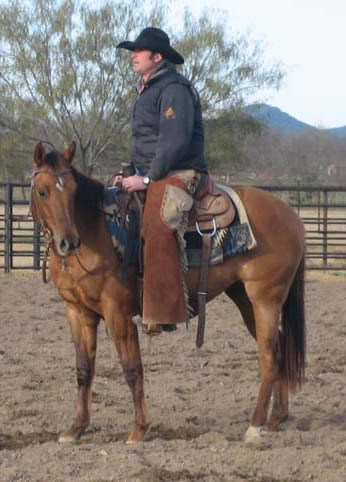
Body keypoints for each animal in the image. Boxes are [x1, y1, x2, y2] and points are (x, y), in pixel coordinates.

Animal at [30, 141, 306, 446]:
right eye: (43, 191)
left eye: (73, 191)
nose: (68, 242)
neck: (100, 232)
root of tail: (291, 216)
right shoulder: (78, 312)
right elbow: (83, 370)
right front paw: (76, 428)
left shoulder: (118, 313)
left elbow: (132, 368)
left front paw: (139, 429)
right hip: (245, 298)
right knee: (279, 350)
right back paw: (276, 418)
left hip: (265, 298)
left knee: (268, 357)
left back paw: (255, 426)